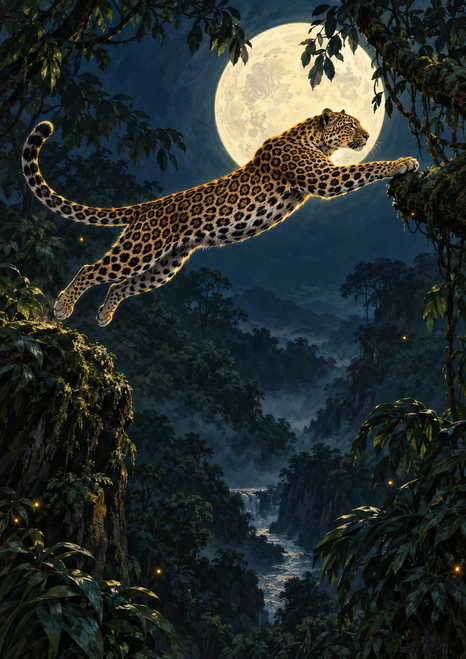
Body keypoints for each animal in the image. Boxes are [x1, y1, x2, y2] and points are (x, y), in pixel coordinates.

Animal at [22, 108, 419, 327]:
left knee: (121, 286)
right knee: (93, 270)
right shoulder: (326, 179)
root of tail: (150, 206)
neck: (313, 137)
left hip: (166, 264)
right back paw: (62, 307)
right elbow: (367, 168)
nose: (367, 134)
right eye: (350, 125)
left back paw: (104, 316)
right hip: (140, 249)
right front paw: (403, 162)